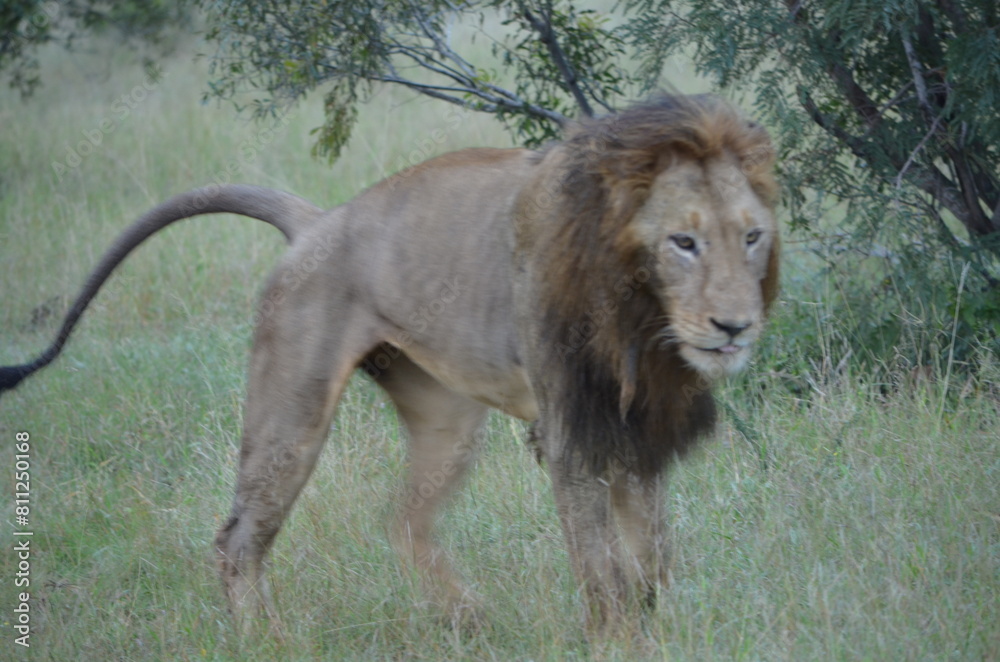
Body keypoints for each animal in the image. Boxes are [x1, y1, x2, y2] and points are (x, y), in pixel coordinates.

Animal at [0, 94, 779, 636]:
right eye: (683, 242)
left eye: (752, 237)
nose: (735, 325)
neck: (642, 319)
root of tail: (318, 220)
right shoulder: (570, 431)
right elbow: (603, 568)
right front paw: (615, 639)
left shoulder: (636, 429)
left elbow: (651, 559)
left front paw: (651, 627)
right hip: (293, 411)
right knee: (236, 540)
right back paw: (267, 640)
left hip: (446, 418)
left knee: (402, 520)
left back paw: (467, 617)